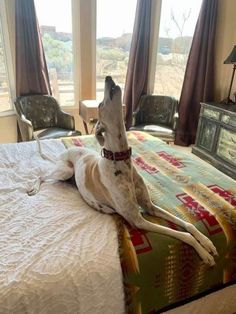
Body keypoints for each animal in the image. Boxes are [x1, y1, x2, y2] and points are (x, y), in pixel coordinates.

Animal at [33, 76, 218, 264]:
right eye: (100, 104)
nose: (108, 77)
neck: (121, 161)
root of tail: (62, 154)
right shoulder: (137, 220)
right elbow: (183, 235)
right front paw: (203, 253)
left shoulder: (150, 207)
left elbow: (187, 224)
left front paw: (206, 242)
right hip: (65, 170)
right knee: (41, 175)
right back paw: (33, 189)